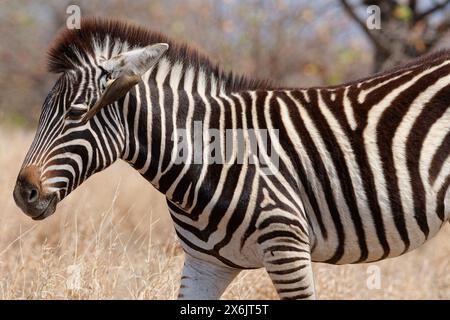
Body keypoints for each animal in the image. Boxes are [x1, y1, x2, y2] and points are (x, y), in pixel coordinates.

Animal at [12, 17, 448, 298]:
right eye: (41, 111)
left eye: (76, 113)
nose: (22, 194)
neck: (208, 157)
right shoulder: (205, 264)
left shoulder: (287, 247)